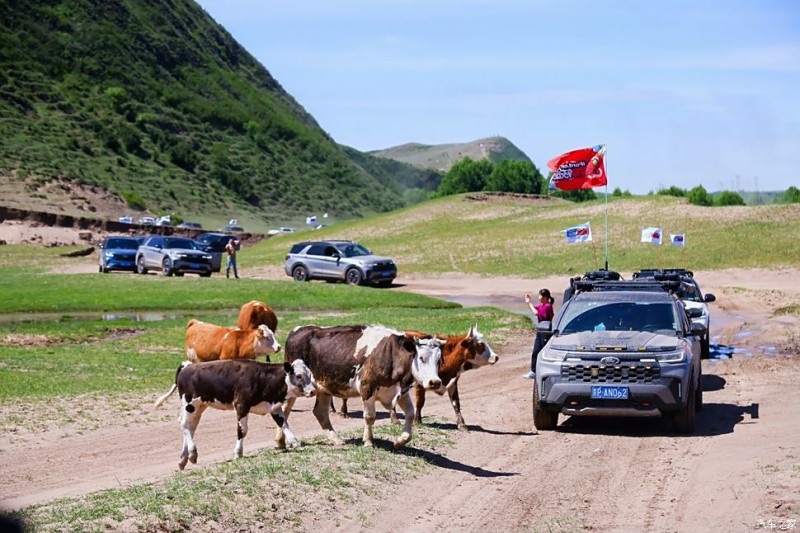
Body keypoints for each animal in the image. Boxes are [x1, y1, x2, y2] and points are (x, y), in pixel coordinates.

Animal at [166, 358, 316, 470]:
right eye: (298, 376)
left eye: (310, 375)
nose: (313, 391)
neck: (263, 378)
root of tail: (188, 366)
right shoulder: (241, 406)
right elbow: (242, 431)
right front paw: (238, 452)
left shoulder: (274, 408)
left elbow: (284, 424)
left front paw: (295, 442)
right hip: (190, 404)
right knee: (185, 424)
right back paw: (192, 453)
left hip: (199, 406)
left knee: (191, 426)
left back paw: (183, 458)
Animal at [280, 324, 444, 448]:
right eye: (421, 358)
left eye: (439, 360)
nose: (435, 382)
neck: (391, 354)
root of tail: (298, 330)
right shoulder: (367, 388)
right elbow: (370, 417)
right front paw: (369, 441)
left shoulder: (400, 391)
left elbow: (410, 414)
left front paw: (400, 441)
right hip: (294, 389)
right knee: (285, 410)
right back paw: (280, 442)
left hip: (323, 388)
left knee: (320, 412)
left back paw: (336, 439)